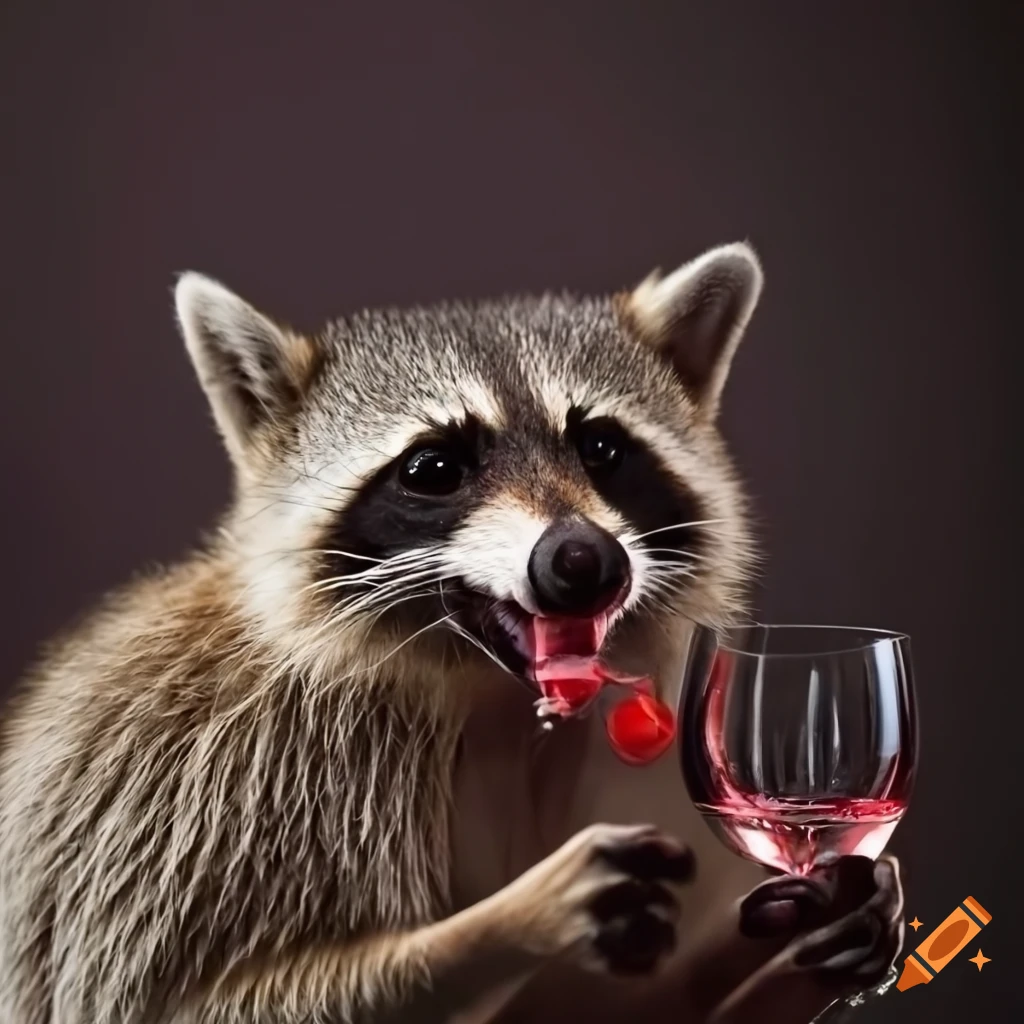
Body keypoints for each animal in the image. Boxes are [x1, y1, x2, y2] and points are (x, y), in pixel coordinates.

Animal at [0, 243, 903, 1024]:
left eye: (601, 448)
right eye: (434, 469)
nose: (584, 559)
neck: (498, 700)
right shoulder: (206, 796)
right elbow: (189, 1002)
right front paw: (511, 920)